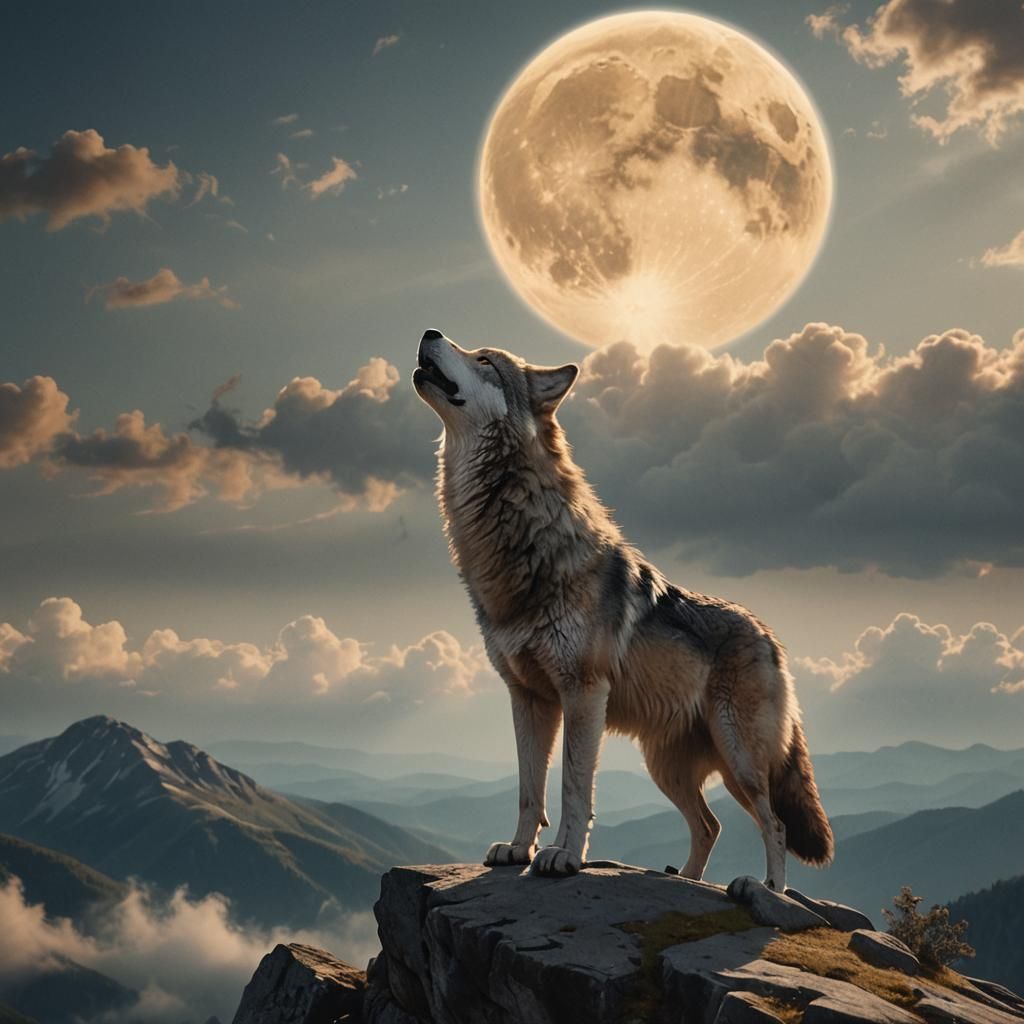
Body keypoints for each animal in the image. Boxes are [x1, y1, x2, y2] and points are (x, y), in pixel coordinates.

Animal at [412, 328, 833, 889]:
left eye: (484, 359)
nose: (430, 332)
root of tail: (771, 637)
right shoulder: (527, 698)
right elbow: (529, 789)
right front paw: (519, 849)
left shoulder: (583, 693)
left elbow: (573, 788)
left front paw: (563, 857)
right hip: (668, 767)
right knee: (711, 825)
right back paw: (686, 880)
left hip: (739, 760)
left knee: (776, 824)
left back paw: (765, 890)